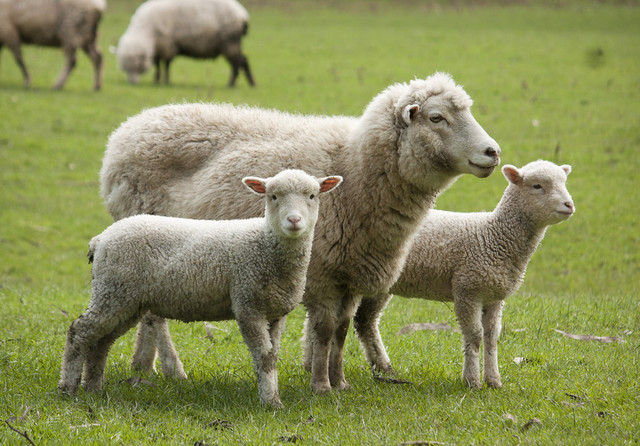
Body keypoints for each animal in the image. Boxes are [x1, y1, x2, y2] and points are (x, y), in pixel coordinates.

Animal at [58, 169, 343, 409]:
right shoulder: (247, 305)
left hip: (124, 300)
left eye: (312, 196)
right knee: (79, 331)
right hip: (113, 290)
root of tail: (100, 239)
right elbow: (263, 356)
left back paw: (93, 388)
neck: (265, 244)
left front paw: (272, 396)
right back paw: (68, 388)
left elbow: (272, 355)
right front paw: (271, 402)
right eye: (273, 196)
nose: (294, 220)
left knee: (101, 341)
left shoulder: (275, 312)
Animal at [100, 72, 501, 393]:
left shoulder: (349, 275)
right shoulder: (321, 274)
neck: (355, 170)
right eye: (437, 117)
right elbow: (323, 330)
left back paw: (143, 366)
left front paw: (340, 381)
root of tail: (128, 130)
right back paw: (173, 369)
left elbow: (341, 330)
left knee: (148, 310)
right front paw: (321, 385)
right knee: (156, 317)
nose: (492, 152)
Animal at [116, 0, 255, 87]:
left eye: (137, 66)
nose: (132, 83)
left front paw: (166, 81)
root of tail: (242, 14)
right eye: (125, 68)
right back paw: (251, 83)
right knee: (243, 60)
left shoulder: (168, 44)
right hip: (230, 43)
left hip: (229, 41)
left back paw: (232, 84)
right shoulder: (159, 47)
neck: (146, 29)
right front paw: (157, 80)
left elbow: (166, 64)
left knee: (238, 62)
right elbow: (158, 64)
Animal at [354, 160, 575, 389]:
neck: (493, 236)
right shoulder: (467, 290)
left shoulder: (494, 297)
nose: (569, 205)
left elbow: (491, 337)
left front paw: (493, 380)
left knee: (365, 321)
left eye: (564, 182)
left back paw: (384, 367)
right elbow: (475, 336)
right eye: (537, 186)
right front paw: (472, 381)